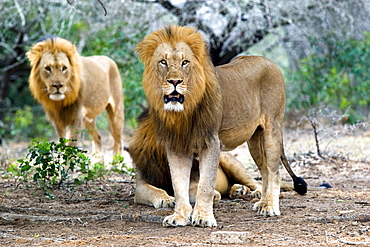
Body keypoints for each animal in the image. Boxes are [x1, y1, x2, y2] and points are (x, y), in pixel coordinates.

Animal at [132, 25, 308, 228]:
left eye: (185, 62)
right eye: (163, 62)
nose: (175, 82)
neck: (183, 112)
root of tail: (269, 62)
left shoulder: (211, 143)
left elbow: (206, 185)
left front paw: (203, 218)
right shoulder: (176, 147)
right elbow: (178, 185)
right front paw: (180, 216)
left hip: (273, 129)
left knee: (274, 172)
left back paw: (270, 207)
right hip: (255, 139)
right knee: (264, 170)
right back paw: (262, 203)